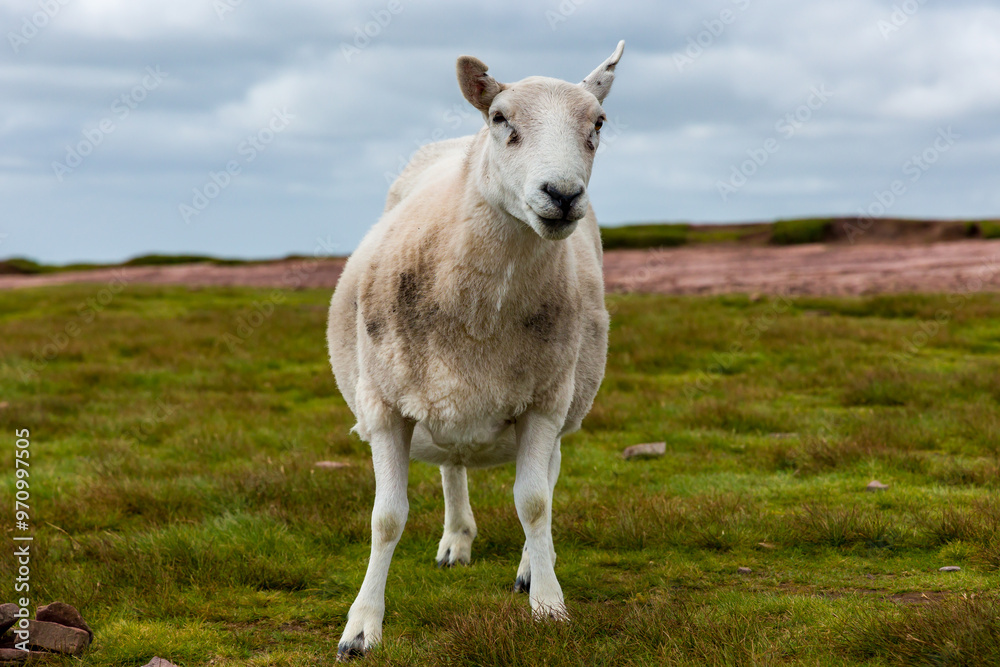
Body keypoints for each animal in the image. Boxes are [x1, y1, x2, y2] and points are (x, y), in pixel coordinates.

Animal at [327, 41, 624, 660]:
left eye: (598, 124)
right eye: (500, 119)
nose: (563, 195)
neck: (482, 315)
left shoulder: (544, 403)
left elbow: (533, 502)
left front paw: (549, 604)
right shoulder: (384, 405)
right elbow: (385, 518)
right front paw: (361, 627)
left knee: (545, 480)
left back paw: (532, 565)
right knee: (452, 466)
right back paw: (456, 539)